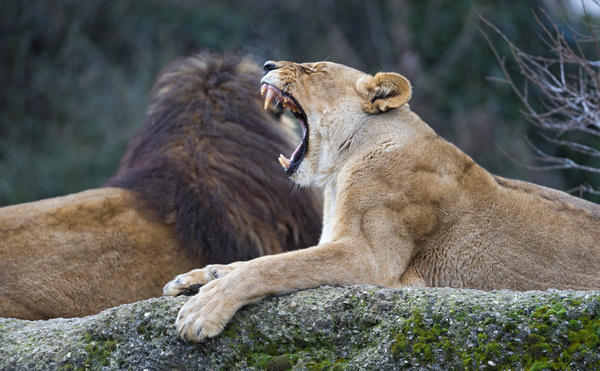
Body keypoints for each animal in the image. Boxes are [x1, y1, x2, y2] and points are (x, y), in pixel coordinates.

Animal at [165, 59, 600, 342]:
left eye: (313, 69)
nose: (268, 61)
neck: (341, 168)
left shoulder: (370, 259)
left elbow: (275, 266)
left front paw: (203, 309)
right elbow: (259, 261)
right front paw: (197, 277)